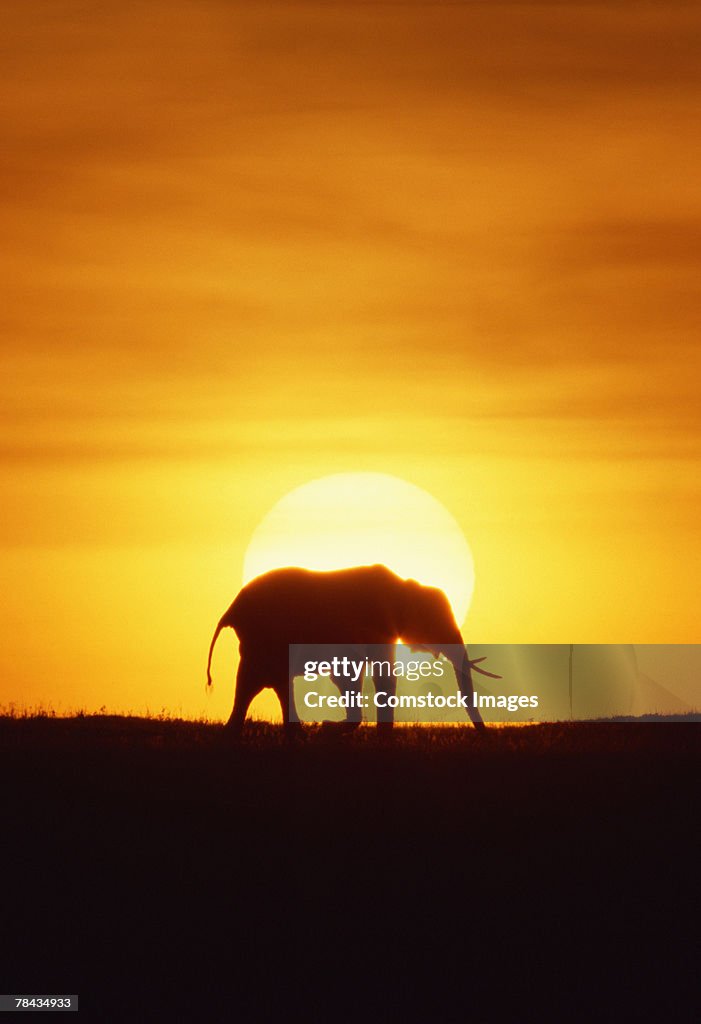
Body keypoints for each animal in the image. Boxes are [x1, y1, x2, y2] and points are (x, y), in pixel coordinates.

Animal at [204, 561, 491, 737]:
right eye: (437, 622)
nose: (485, 736)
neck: (403, 587)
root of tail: (230, 610)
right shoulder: (377, 626)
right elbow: (374, 675)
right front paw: (327, 729)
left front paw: (329, 730)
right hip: (265, 639)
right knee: (260, 683)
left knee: (264, 684)